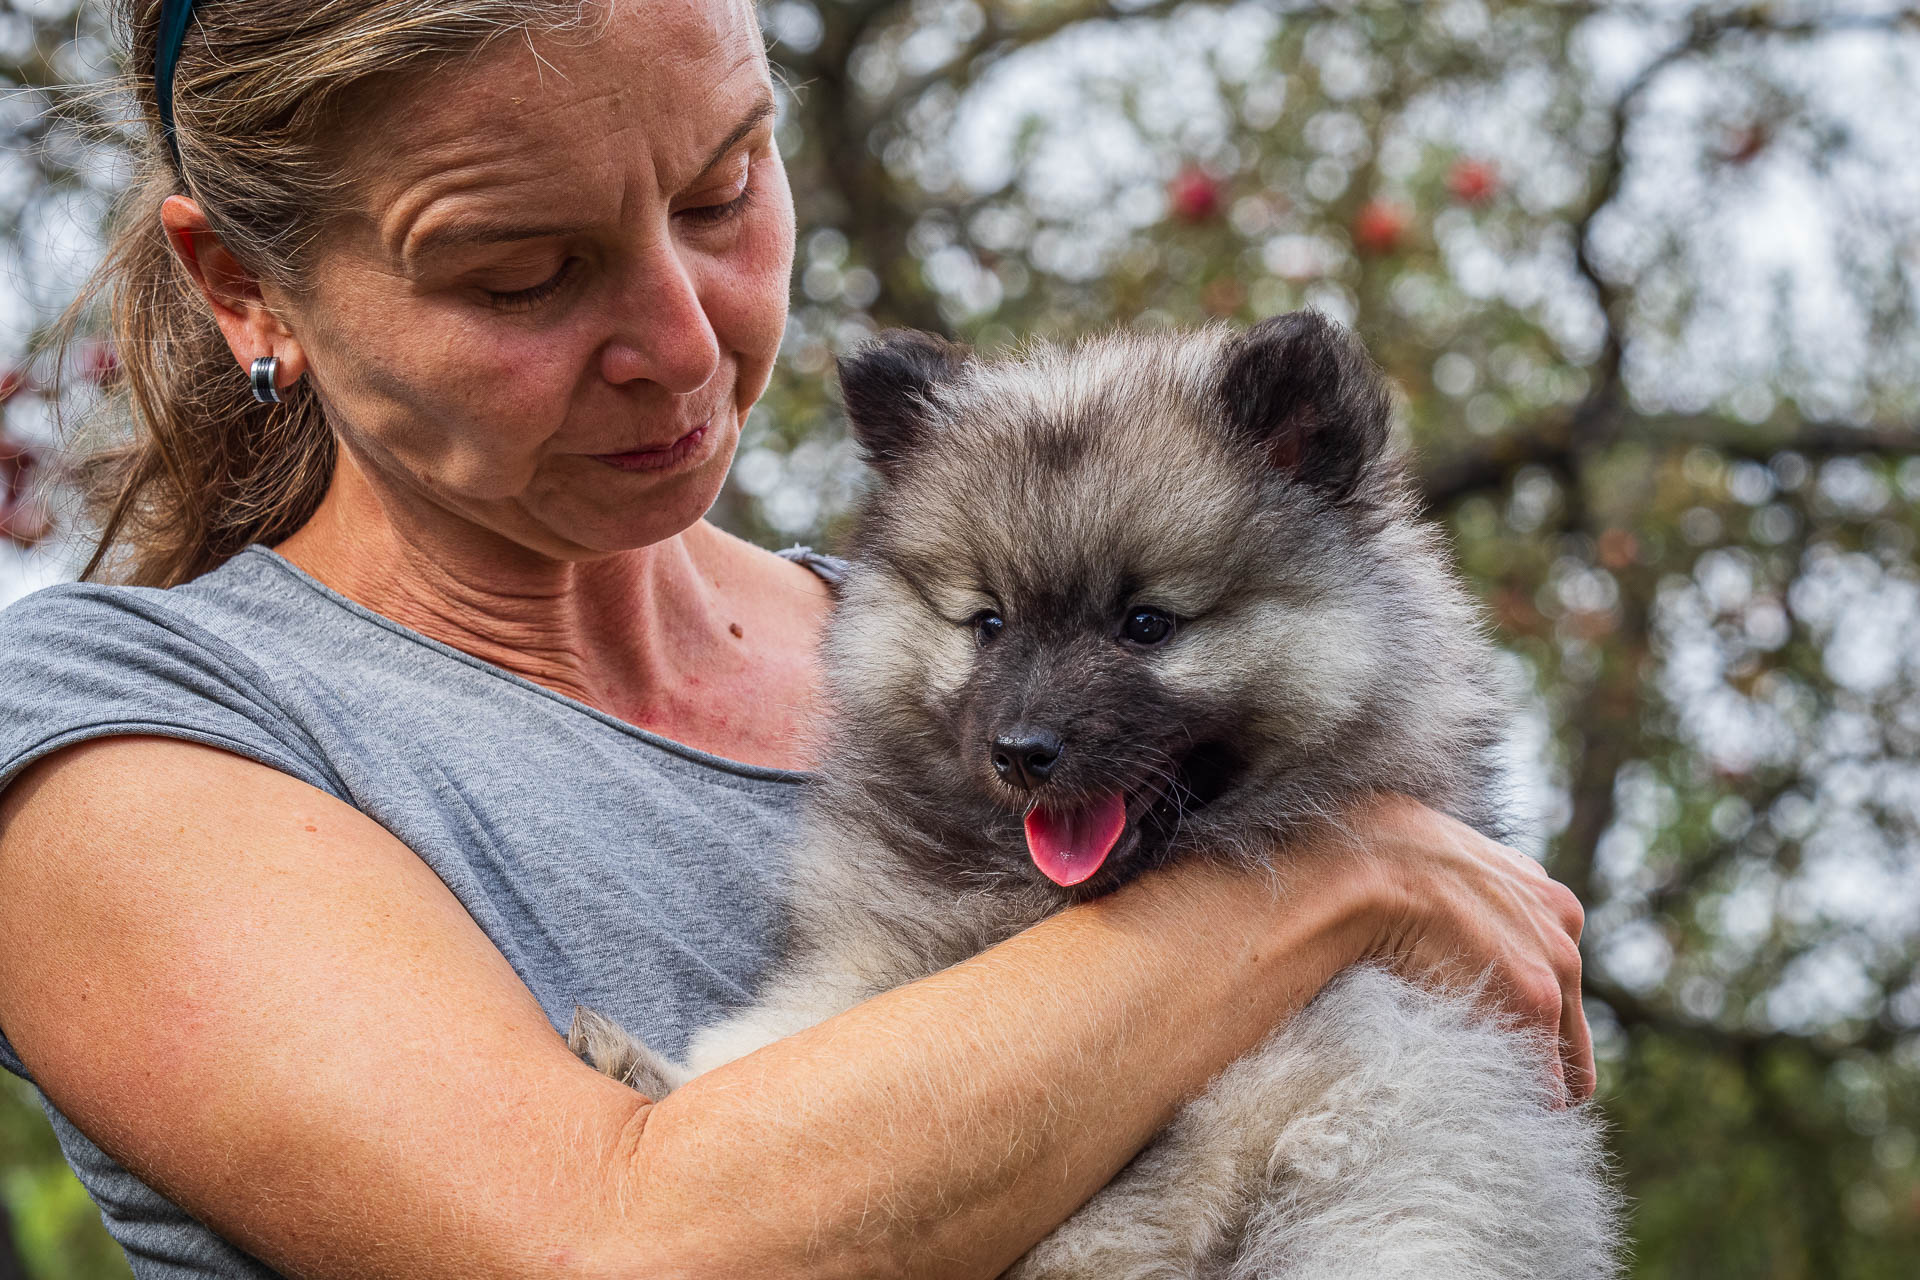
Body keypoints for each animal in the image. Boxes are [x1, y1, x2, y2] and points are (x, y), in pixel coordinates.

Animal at [572, 312, 1620, 1280]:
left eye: (1146, 624)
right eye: (988, 623)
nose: (1021, 752)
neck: (1030, 904)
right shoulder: (871, 957)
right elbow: (772, 1040)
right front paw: (651, 1068)